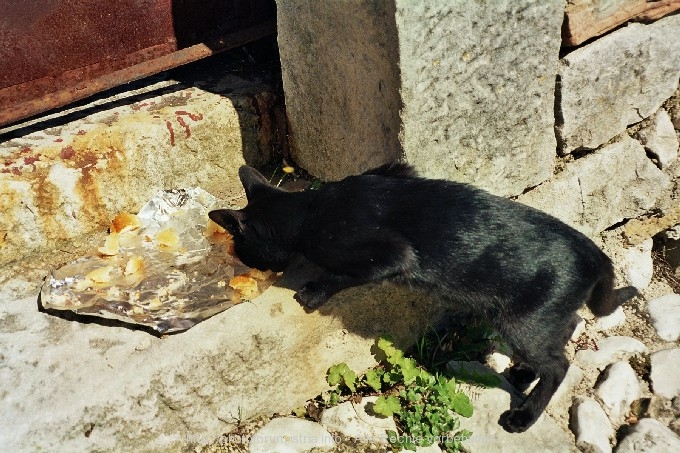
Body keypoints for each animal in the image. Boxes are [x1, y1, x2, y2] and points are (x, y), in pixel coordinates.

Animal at [207, 162, 636, 430]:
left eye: (242, 247)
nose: (246, 261)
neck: (314, 207)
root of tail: (594, 252)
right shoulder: (396, 170)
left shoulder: (392, 255)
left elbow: (343, 273)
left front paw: (313, 291)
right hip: (535, 319)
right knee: (567, 329)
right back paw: (521, 372)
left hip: (521, 323)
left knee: (558, 365)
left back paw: (524, 415)